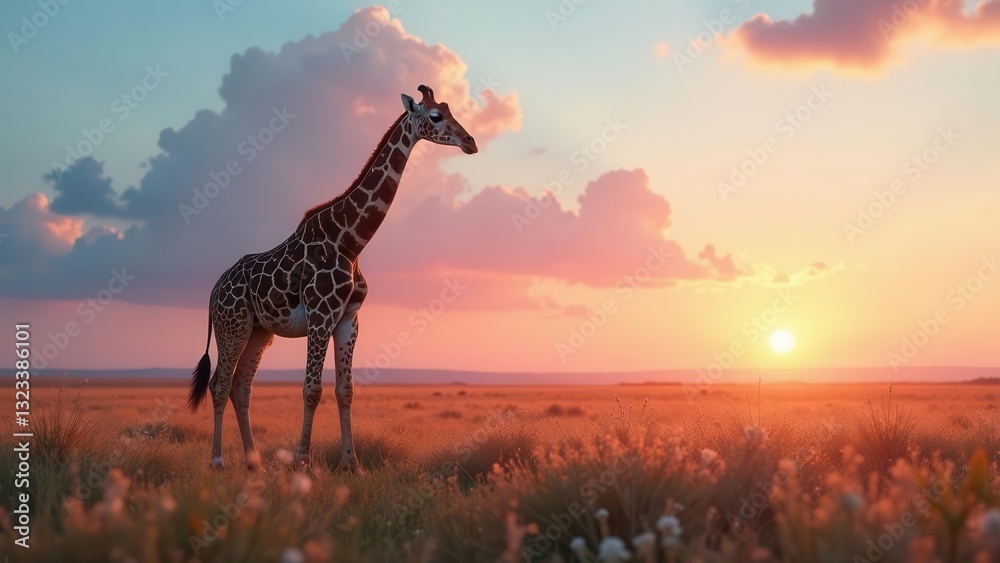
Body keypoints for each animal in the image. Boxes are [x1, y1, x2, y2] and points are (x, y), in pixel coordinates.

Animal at [188, 85, 477, 472]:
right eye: (435, 116)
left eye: (450, 109)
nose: (470, 142)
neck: (351, 242)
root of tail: (213, 290)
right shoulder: (321, 315)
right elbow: (312, 390)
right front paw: (302, 463)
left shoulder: (348, 319)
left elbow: (345, 391)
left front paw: (351, 464)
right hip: (231, 326)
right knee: (219, 385)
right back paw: (218, 461)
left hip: (259, 331)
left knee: (240, 387)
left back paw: (255, 464)